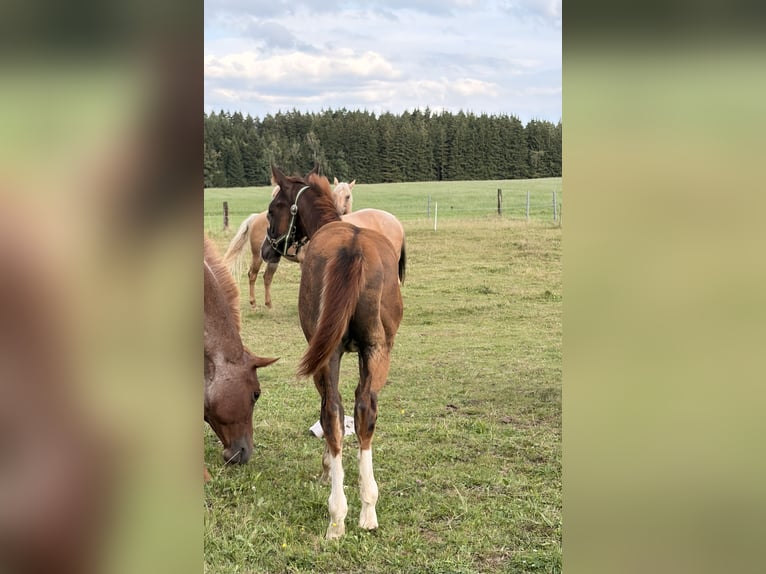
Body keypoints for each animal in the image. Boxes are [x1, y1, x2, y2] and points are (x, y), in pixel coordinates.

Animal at [222, 180, 355, 309]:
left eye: (348, 196)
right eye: (334, 194)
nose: (339, 210)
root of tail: (256, 217)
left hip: (273, 259)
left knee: (267, 277)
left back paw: (269, 305)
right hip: (258, 256)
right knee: (252, 275)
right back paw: (253, 303)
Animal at [261, 165, 404, 539]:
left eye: (272, 210)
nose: (266, 249)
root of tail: (352, 248)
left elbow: (331, 417)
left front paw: (327, 468)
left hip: (328, 356)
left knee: (332, 411)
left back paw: (337, 514)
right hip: (377, 350)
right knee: (365, 409)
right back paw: (368, 508)